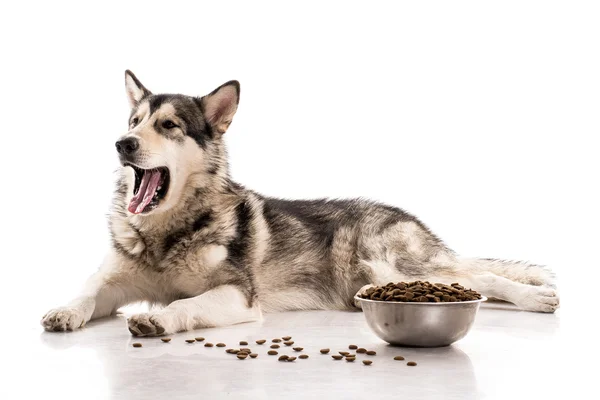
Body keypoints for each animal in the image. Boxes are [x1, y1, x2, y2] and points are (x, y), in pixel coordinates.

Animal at [41, 71, 556, 334]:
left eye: (169, 125)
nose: (122, 143)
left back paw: (535, 297)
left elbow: (188, 303)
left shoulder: (237, 296)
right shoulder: (112, 283)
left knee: (481, 278)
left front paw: (159, 317)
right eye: (135, 121)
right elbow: (87, 292)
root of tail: (409, 217)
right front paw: (65, 310)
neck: (167, 231)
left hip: (396, 269)